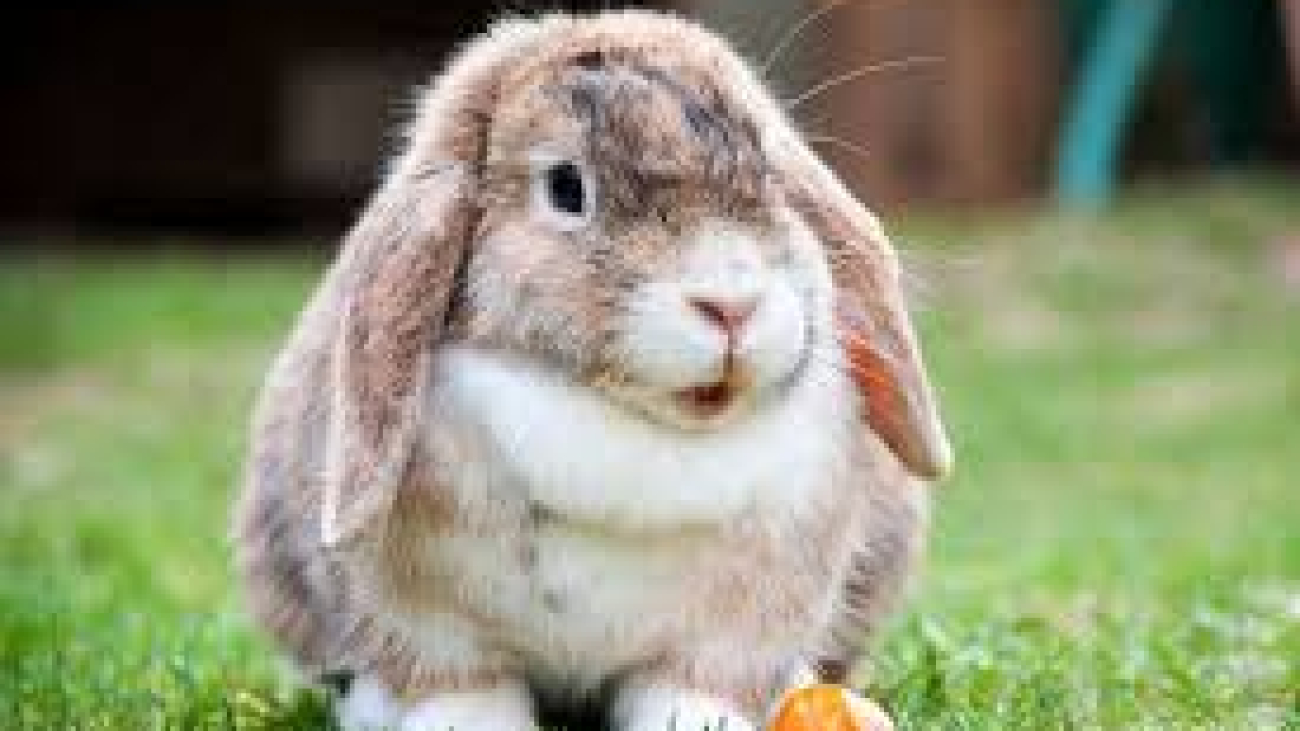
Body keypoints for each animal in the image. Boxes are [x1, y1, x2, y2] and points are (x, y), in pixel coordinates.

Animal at [233, 9, 952, 731]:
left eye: (769, 173)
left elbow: (695, 686)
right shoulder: (428, 625)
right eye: (566, 187)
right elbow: (459, 683)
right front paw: (460, 721)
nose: (732, 303)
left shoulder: (738, 627)